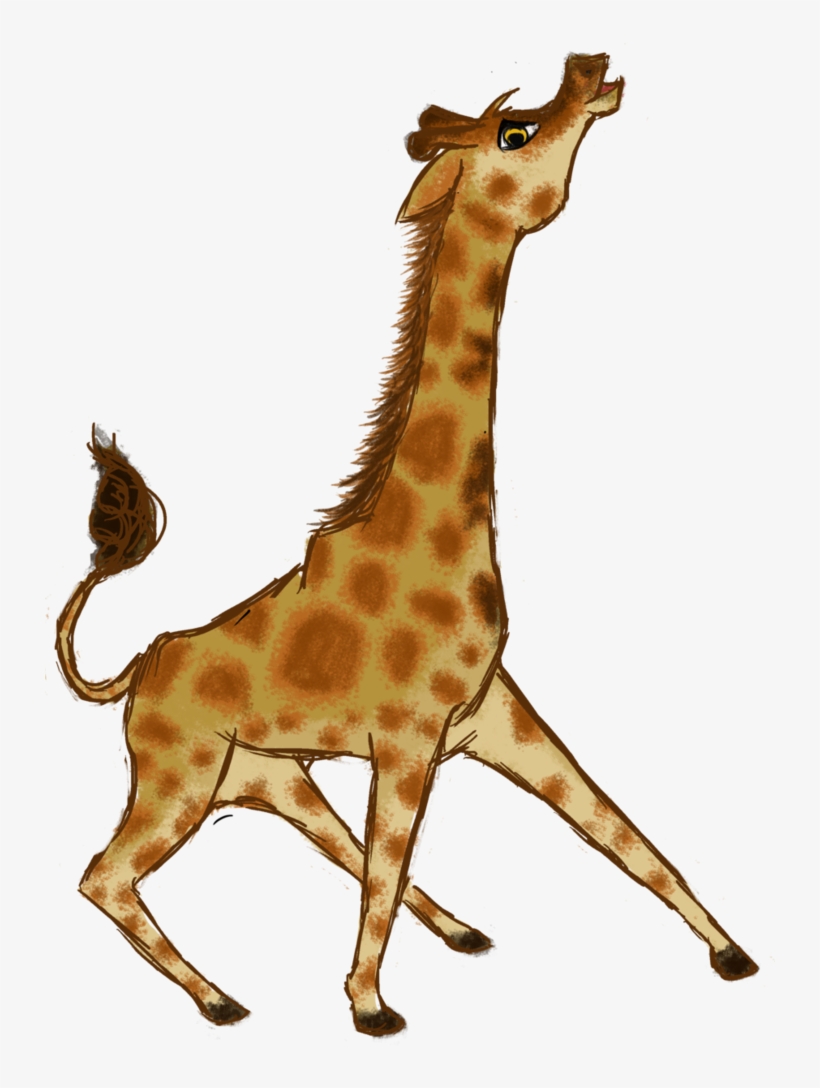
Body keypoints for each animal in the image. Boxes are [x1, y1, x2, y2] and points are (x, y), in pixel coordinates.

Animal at [57, 53, 758, 1036]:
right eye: (515, 131)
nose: (590, 69)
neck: (438, 532)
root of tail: (134, 670)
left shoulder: (494, 716)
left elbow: (624, 834)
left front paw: (733, 953)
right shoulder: (408, 735)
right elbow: (395, 861)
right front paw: (368, 1008)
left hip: (268, 780)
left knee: (336, 850)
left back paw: (457, 933)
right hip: (180, 777)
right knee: (104, 876)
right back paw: (223, 1000)